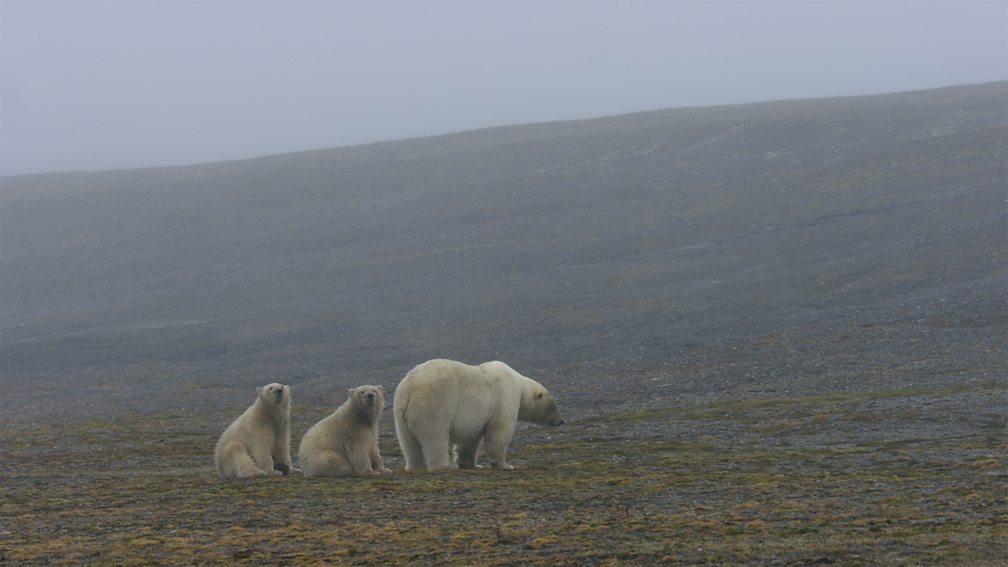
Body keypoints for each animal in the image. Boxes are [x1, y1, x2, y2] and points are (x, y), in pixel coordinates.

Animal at [393, 359, 564, 472]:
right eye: (554, 405)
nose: (561, 421)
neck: (520, 385)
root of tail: (409, 389)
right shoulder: (504, 398)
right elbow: (500, 431)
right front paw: (506, 465)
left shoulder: (478, 418)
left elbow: (471, 439)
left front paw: (471, 464)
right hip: (433, 404)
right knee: (435, 436)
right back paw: (444, 466)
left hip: (400, 411)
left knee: (408, 441)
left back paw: (415, 466)